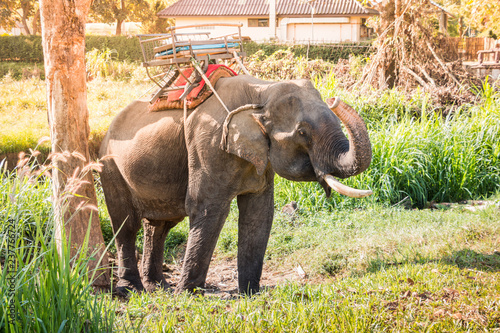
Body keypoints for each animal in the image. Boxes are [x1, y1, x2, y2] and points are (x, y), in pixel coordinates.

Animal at [98, 74, 372, 294]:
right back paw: (133, 289)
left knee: (160, 225)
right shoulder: (208, 144)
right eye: (302, 132)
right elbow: (207, 209)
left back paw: (158, 286)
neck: (262, 91)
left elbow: (259, 213)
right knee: (126, 224)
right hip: (110, 168)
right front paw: (187, 294)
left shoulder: (261, 157)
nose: (335, 99)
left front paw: (250, 293)